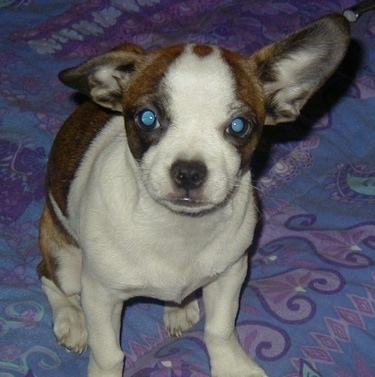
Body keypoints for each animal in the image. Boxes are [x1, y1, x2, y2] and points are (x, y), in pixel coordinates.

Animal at [37, 13, 350, 376]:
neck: (177, 228)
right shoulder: (101, 296)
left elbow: (220, 330)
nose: (188, 170)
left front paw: (231, 365)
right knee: (48, 276)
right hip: (66, 261)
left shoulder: (230, 274)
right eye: (147, 118)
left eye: (239, 126)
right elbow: (108, 353)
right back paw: (72, 319)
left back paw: (179, 307)